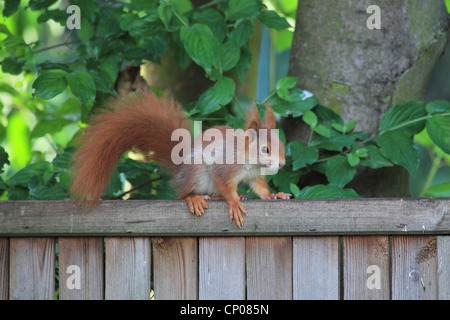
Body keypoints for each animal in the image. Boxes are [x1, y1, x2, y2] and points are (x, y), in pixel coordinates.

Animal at [68, 90, 290, 226]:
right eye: (265, 149)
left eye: (282, 145)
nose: (282, 164)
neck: (250, 161)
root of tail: (180, 171)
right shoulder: (224, 166)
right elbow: (225, 185)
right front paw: (234, 203)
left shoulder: (255, 176)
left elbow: (260, 189)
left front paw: (274, 195)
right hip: (196, 171)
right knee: (183, 192)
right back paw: (194, 198)